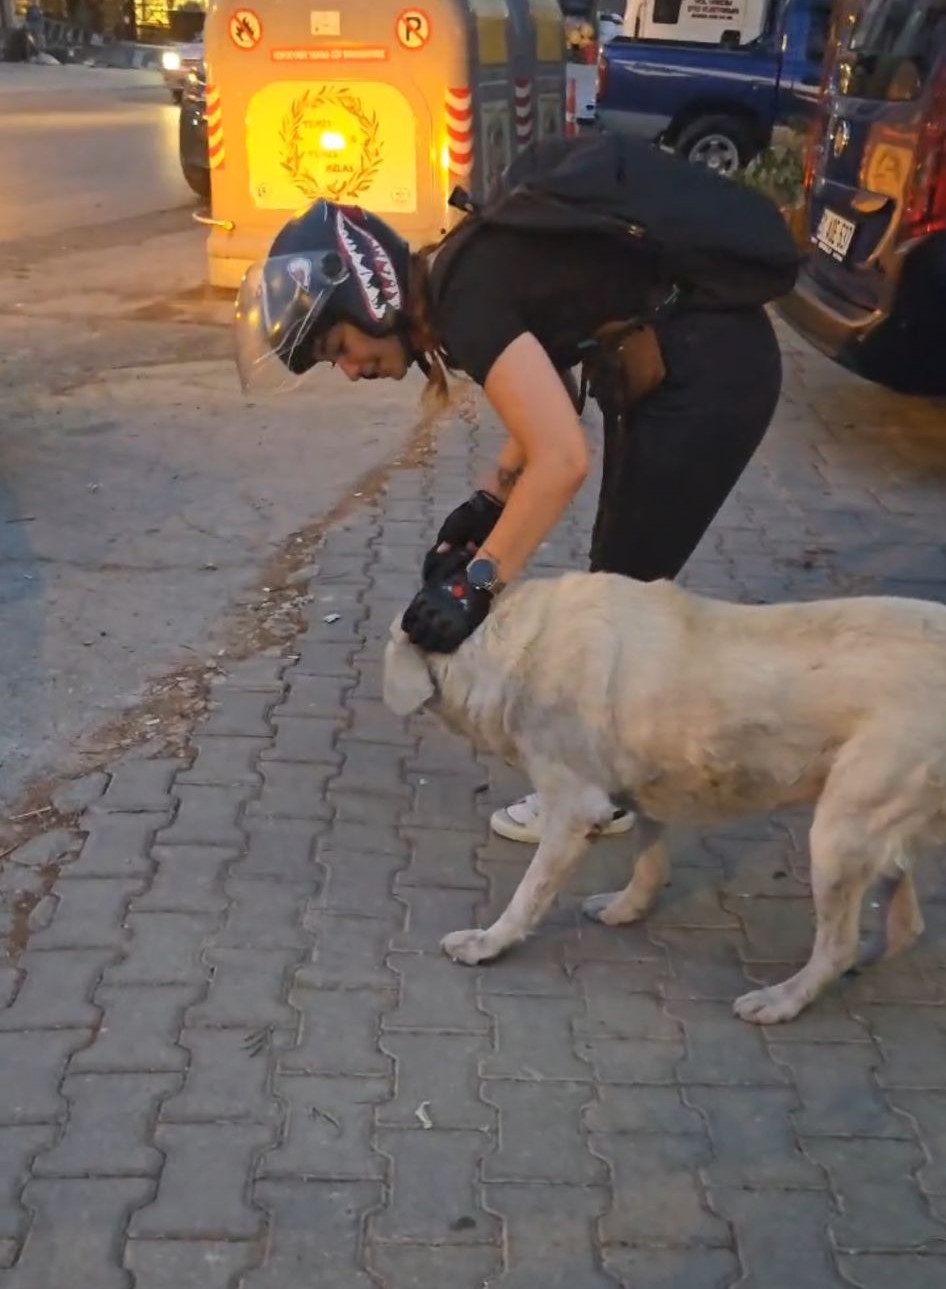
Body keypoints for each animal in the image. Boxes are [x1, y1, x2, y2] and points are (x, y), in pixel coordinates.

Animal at [386, 574, 946, 1026]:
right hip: (875, 829)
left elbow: (528, 895)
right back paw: (862, 962)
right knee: (904, 926)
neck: (510, 645)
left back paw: (783, 999)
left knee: (837, 943)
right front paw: (627, 908)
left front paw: (488, 943)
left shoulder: (576, 808)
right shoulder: (642, 787)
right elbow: (649, 860)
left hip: (839, 830)